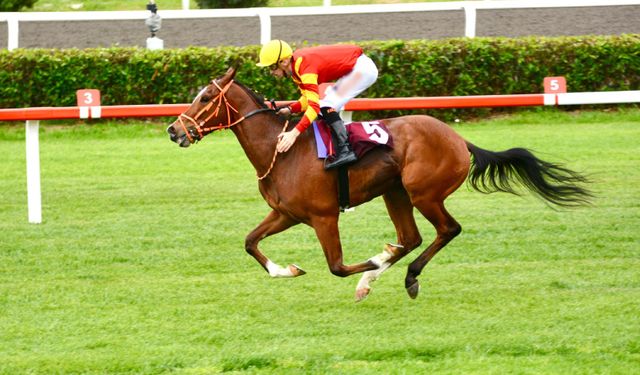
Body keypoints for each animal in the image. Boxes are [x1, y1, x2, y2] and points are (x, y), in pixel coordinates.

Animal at [165, 67, 592, 302]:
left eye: (205, 97)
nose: (174, 131)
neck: (280, 148)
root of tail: (459, 139)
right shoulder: (286, 213)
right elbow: (251, 242)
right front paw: (287, 270)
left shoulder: (323, 216)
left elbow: (337, 266)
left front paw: (369, 263)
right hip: (395, 192)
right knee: (411, 237)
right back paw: (380, 274)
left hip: (423, 192)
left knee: (446, 230)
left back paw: (402, 275)